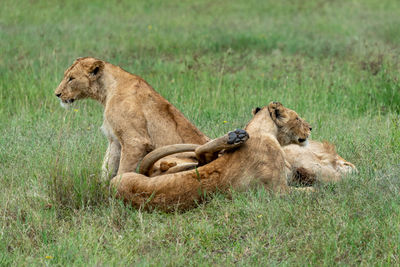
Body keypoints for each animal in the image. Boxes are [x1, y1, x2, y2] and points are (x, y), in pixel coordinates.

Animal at [54, 58, 208, 180]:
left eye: (71, 78)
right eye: (66, 76)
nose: (57, 94)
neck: (106, 92)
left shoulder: (135, 141)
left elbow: (123, 170)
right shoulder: (115, 140)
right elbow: (107, 168)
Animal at [111, 101, 314, 213]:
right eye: (297, 118)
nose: (311, 127)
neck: (260, 131)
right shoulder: (279, 191)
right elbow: (311, 190)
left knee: (202, 154)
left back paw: (234, 137)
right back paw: (234, 137)